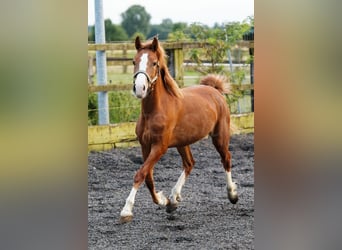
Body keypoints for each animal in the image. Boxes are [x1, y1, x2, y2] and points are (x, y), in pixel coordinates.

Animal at [120, 36, 238, 222]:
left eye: (154, 63)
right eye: (134, 61)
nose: (139, 88)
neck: (153, 111)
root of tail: (215, 90)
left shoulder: (159, 147)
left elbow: (140, 174)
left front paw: (126, 210)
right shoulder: (145, 146)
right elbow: (148, 178)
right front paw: (164, 200)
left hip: (219, 137)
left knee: (226, 159)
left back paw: (232, 194)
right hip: (183, 142)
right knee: (189, 164)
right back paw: (174, 198)